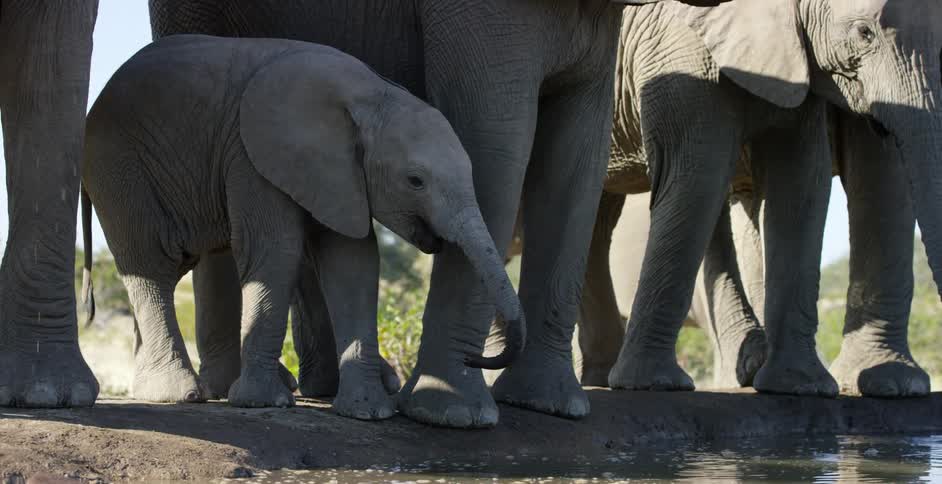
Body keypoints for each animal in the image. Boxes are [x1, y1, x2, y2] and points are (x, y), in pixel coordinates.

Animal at [80, 34, 524, 410]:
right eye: (415, 181)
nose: (478, 357)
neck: (372, 94)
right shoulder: (252, 153)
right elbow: (277, 250)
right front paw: (263, 403)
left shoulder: (337, 173)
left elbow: (353, 262)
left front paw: (368, 411)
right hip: (118, 164)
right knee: (151, 266)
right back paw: (179, 394)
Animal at [146, 0, 723, 427]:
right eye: (416, 182)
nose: (481, 356)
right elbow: (496, 138)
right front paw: (453, 414)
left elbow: (577, 158)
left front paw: (552, 405)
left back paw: (334, 388)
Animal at [580, 0, 942, 397]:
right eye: (864, 32)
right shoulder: (675, 46)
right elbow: (698, 169)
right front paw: (654, 385)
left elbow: (803, 180)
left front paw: (809, 387)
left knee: (599, 217)